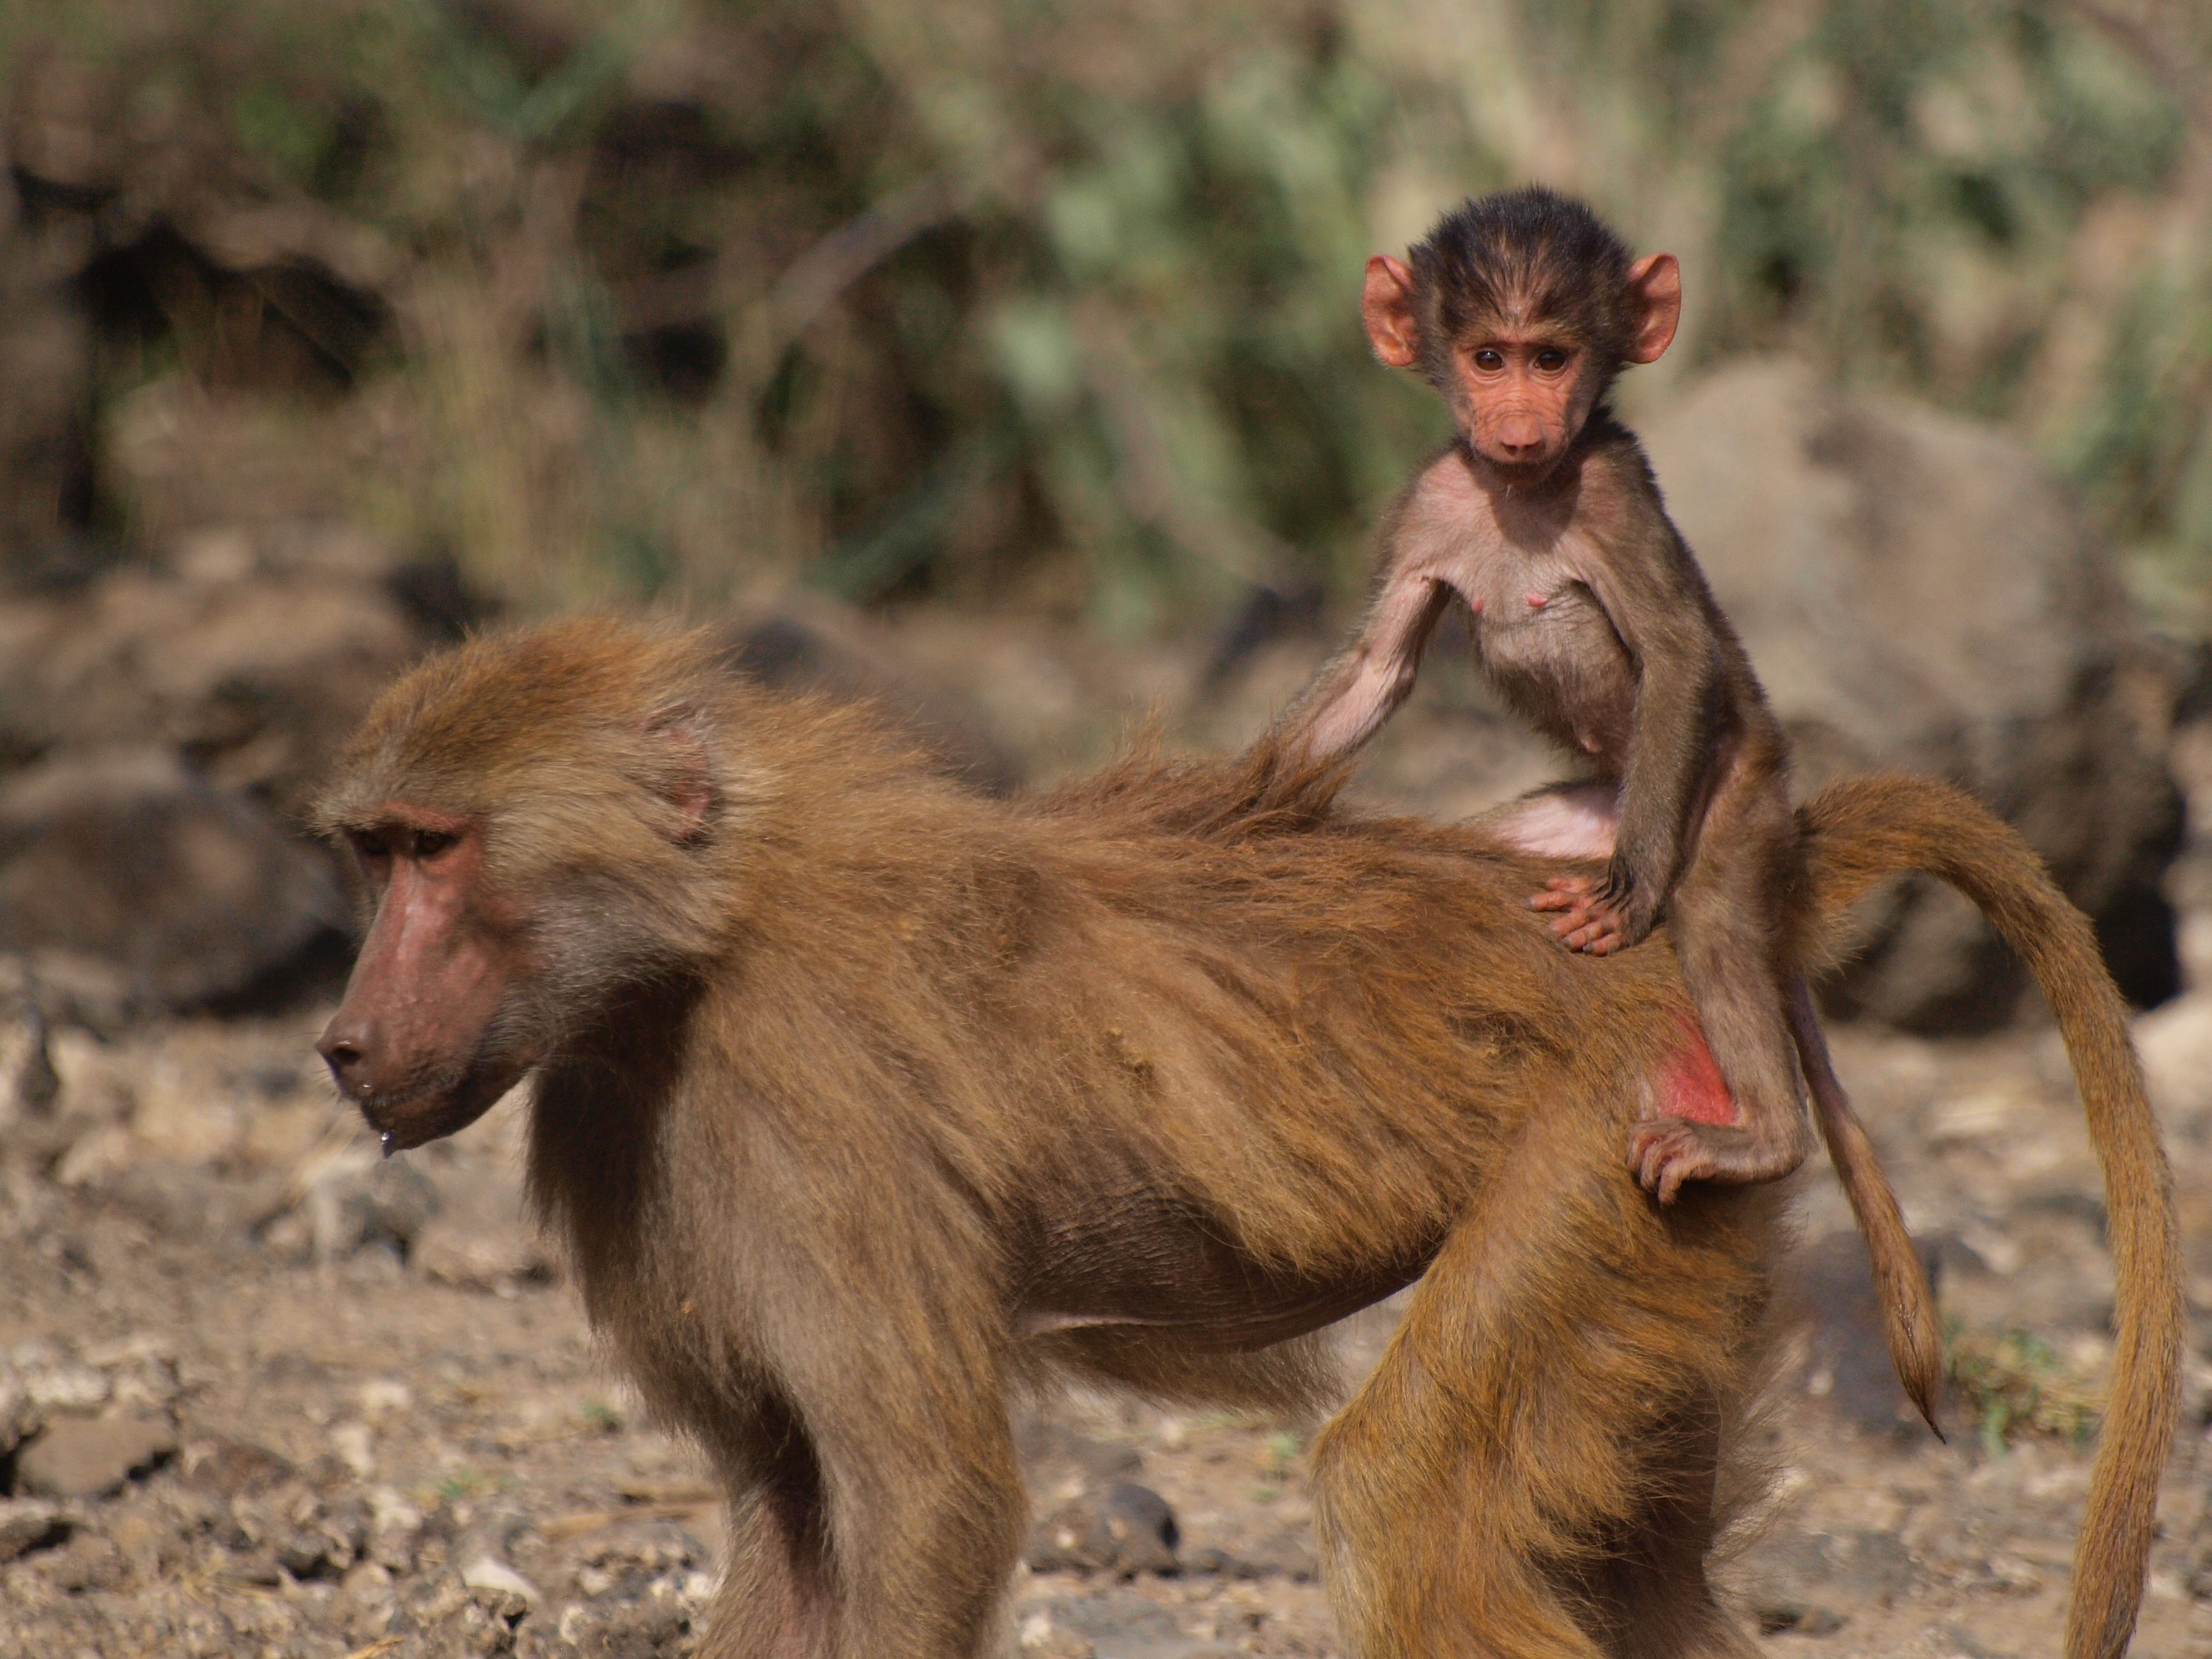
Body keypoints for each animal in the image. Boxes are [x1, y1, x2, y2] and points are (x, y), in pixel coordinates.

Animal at [313, 620, 2179, 1659]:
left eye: (436, 850)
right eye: (371, 852)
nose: (340, 1043)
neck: (690, 951)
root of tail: (1678, 931)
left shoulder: (806, 1106)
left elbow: (923, 1499)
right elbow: (793, 1511)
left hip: (1612, 1149)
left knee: (1406, 1502)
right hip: (1688, 1204)